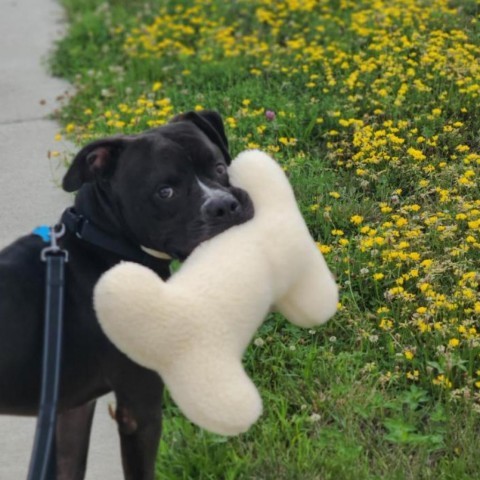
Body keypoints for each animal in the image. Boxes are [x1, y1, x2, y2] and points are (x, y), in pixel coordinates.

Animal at [0, 111, 255, 480]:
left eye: (219, 167)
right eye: (165, 192)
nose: (224, 205)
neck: (101, 241)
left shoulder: (70, 407)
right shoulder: (139, 409)